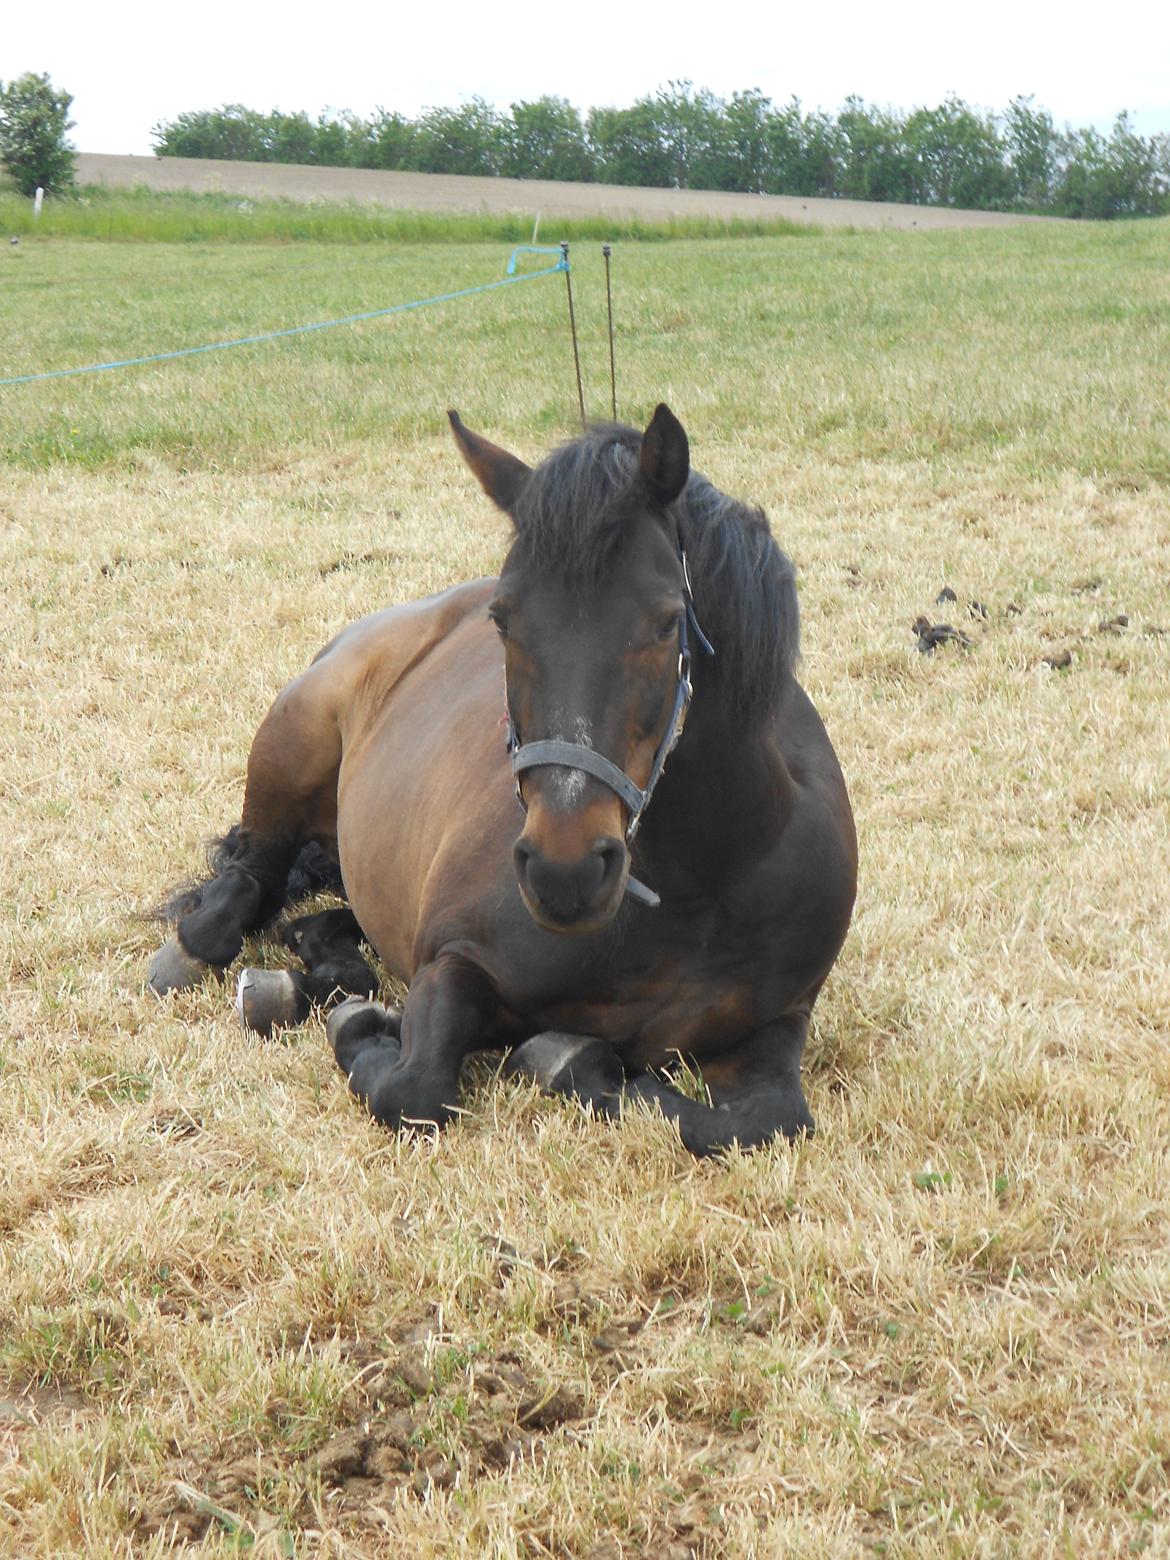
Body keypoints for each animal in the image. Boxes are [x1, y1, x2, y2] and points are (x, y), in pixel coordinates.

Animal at [151, 405, 854, 1160]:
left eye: (668, 622)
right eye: (502, 619)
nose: (565, 870)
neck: (702, 883)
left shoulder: (776, 1026)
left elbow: (764, 1120)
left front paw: (569, 1060)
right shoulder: (455, 962)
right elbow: (414, 1089)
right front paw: (367, 1032)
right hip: (292, 743)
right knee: (251, 873)